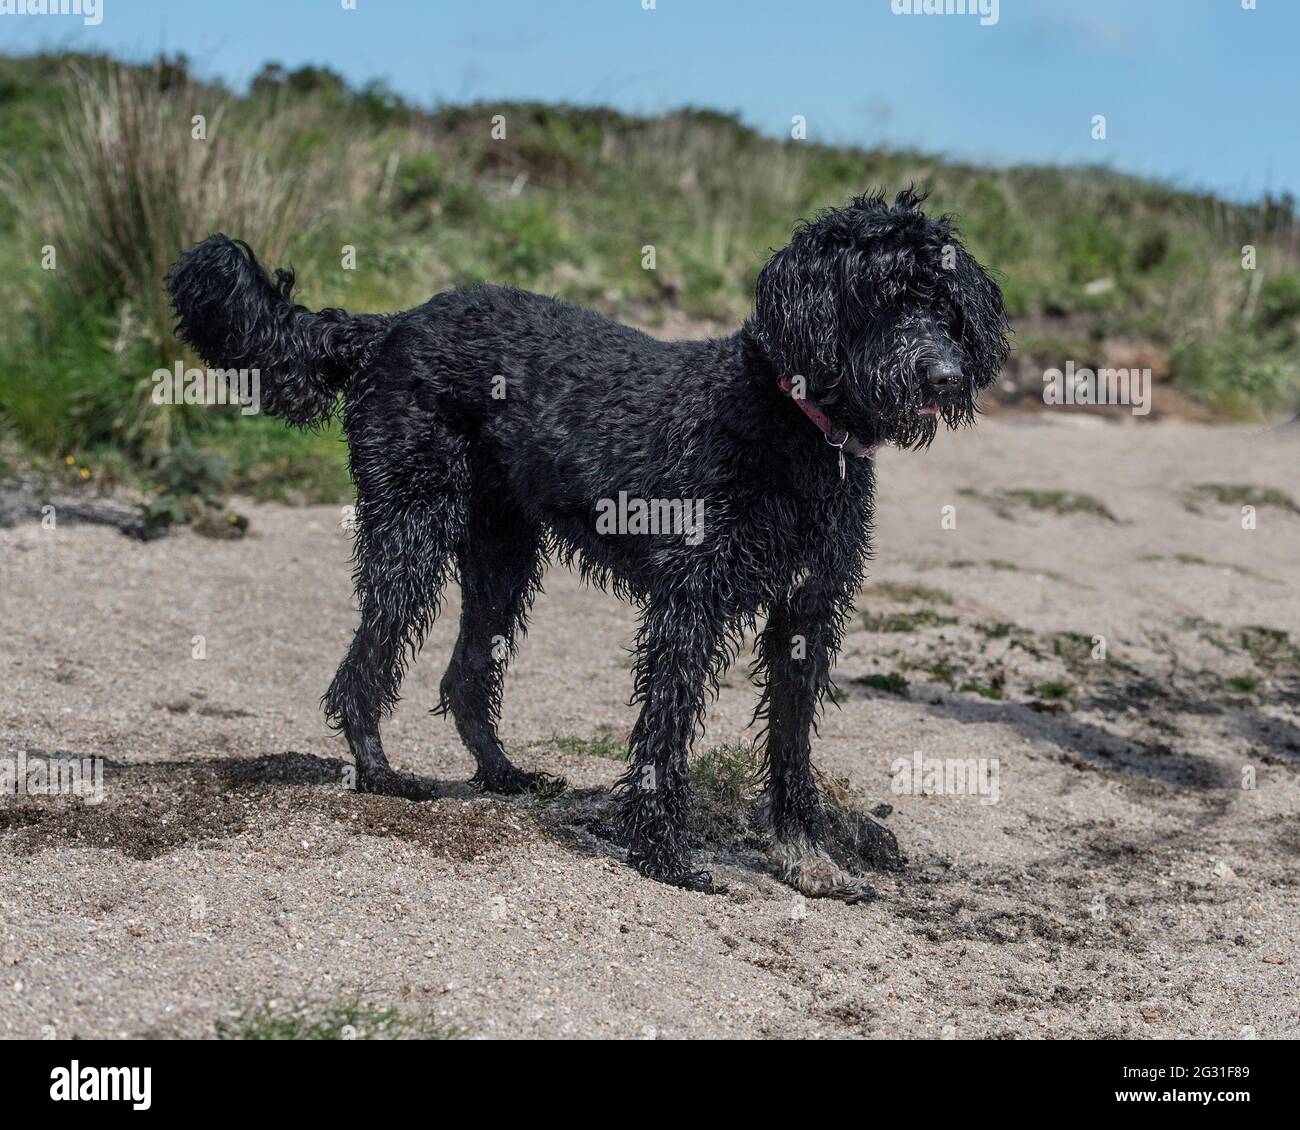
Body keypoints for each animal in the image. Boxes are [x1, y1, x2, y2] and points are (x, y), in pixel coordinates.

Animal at [162, 191, 1008, 899]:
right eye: (883, 295)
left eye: (945, 304)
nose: (945, 374)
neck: (793, 422)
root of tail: (391, 325)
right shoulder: (689, 606)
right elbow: (666, 732)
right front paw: (664, 854)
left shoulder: (805, 615)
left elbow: (792, 747)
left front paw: (807, 857)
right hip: (411, 529)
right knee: (366, 664)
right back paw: (377, 770)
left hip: (500, 554)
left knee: (465, 677)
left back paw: (500, 773)